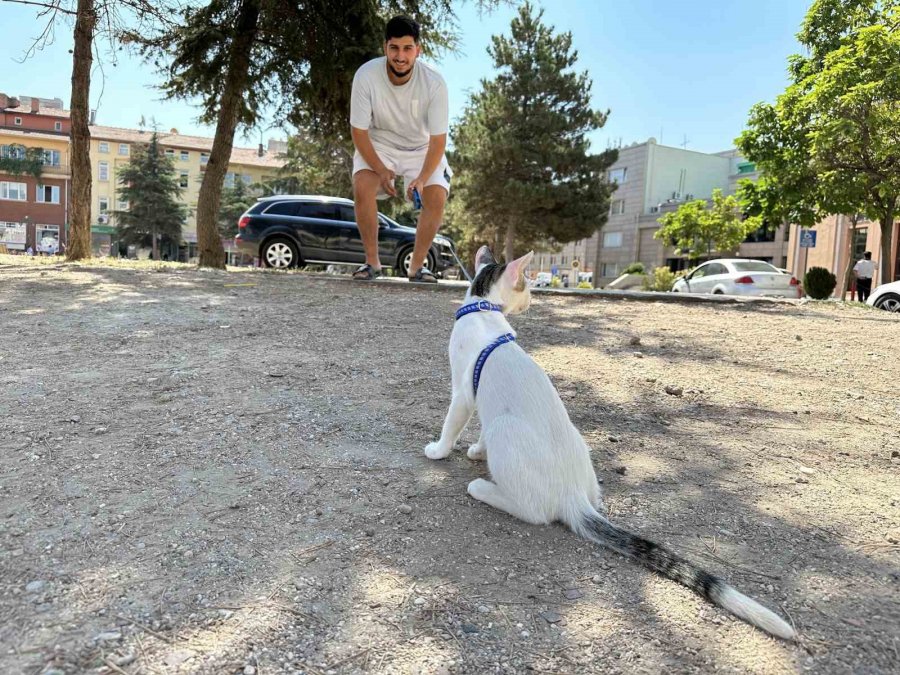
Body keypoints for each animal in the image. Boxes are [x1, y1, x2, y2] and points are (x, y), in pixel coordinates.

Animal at [424, 246, 796, 640]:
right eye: (527, 286)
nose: (533, 299)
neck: (481, 309)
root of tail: (573, 496)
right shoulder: (482, 398)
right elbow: (477, 427)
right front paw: (476, 450)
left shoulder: (464, 393)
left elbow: (452, 425)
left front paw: (439, 451)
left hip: (506, 433)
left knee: (533, 511)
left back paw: (482, 488)